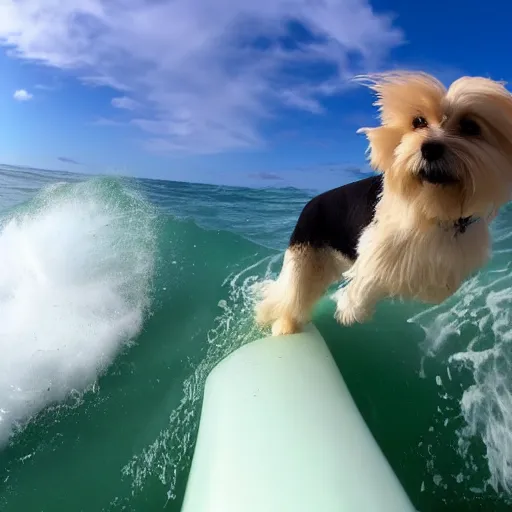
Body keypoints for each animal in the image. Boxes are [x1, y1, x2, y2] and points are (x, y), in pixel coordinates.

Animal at [256, 72, 512, 336]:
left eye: (470, 127)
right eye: (418, 122)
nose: (430, 148)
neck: (432, 206)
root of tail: (310, 203)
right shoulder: (378, 249)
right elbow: (365, 283)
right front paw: (349, 311)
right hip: (303, 258)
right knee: (291, 294)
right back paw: (285, 325)